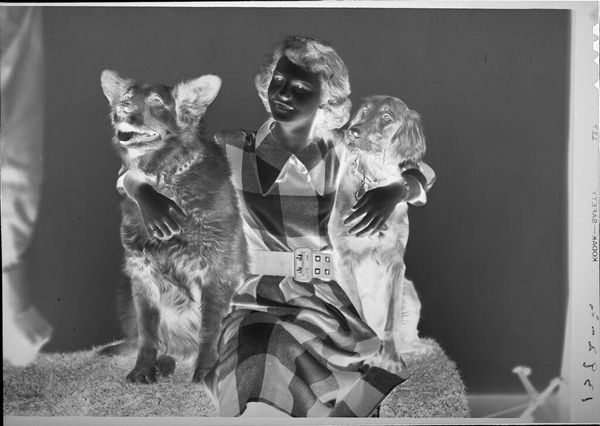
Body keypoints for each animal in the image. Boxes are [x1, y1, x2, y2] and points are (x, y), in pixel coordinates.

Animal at [99, 70, 246, 384]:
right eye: (127, 97)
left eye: (156, 101)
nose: (121, 109)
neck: (165, 179)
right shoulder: (141, 272)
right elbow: (148, 334)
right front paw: (143, 368)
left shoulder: (217, 272)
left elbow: (209, 328)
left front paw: (206, 369)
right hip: (126, 286)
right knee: (157, 342)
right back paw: (164, 363)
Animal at [329, 95, 432, 374]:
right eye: (364, 111)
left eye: (386, 117)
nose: (353, 131)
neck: (373, 179)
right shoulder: (344, 258)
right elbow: (359, 314)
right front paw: (368, 357)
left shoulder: (395, 264)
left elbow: (391, 321)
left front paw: (391, 359)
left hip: (410, 292)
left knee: (408, 336)